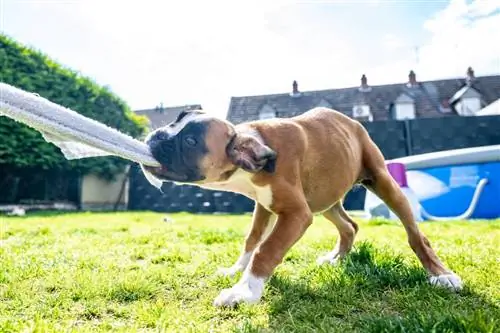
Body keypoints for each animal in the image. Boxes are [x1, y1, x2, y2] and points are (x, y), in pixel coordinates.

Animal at [140, 106, 460, 306]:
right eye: (174, 122)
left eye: (191, 141)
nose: (157, 135)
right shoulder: (264, 207)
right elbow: (252, 241)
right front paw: (235, 270)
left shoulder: (296, 214)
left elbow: (266, 250)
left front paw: (244, 291)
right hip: (325, 200)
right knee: (350, 226)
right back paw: (336, 258)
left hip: (383, 182)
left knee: (415, 235)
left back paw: (441, 274)